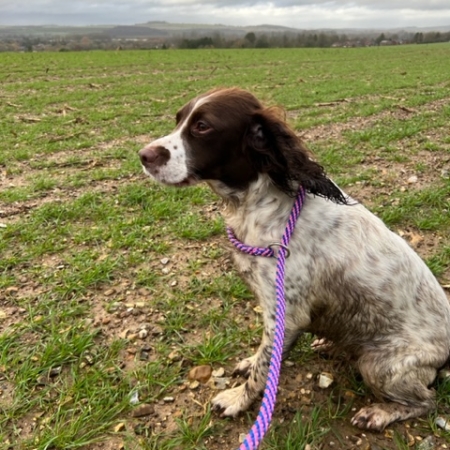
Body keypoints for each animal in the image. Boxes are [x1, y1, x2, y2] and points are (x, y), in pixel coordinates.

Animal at [138, 89, 450, 432]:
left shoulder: (285, 315)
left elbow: (264, 369)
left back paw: (379, 413)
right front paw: (249, 363)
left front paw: (237, 399)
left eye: (202, 126)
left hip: (379, 364)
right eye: (178, 119)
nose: (143, 155)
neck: (264, 205)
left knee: (426, 402)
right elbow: (263, 354)